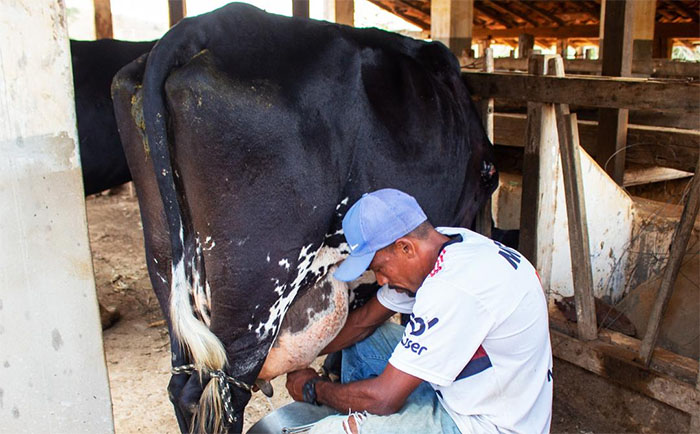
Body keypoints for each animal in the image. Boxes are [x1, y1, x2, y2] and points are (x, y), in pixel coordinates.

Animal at [110, 4, 498, 434]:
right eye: (489, 181)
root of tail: (201, 26)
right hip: (258, 283)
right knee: (217, 392)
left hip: (166, 261)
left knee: (181, 385)